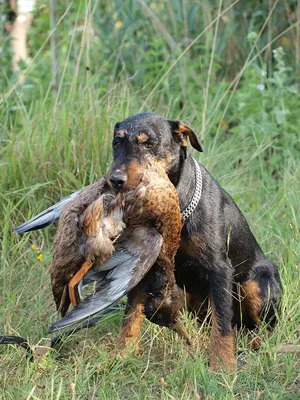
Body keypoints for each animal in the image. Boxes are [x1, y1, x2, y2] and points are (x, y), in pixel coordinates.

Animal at [14, 111, 282, 370]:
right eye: (116, 142)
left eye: (149, 143)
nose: (115, 180)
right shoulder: (148, 269)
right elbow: (131, 317)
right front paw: (121, 357)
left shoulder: (220, 270)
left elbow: (223, 325)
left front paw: (223, 368)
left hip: (257, 284)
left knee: (257, 327)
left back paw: (256, 344)